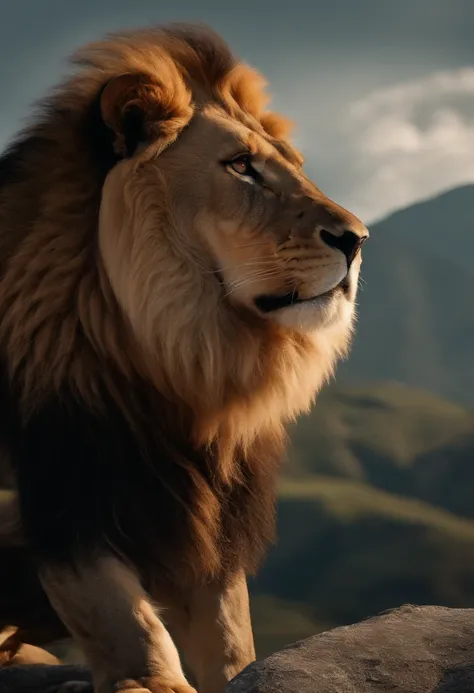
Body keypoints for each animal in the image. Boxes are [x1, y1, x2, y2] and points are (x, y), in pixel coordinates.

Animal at [0, 21, 368, 692]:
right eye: (242, 167)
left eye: (295, 168)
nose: (357, 239)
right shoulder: (68, 495)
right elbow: (126, 621)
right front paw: (154, 680)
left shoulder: (207, 510)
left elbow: (230, 633)